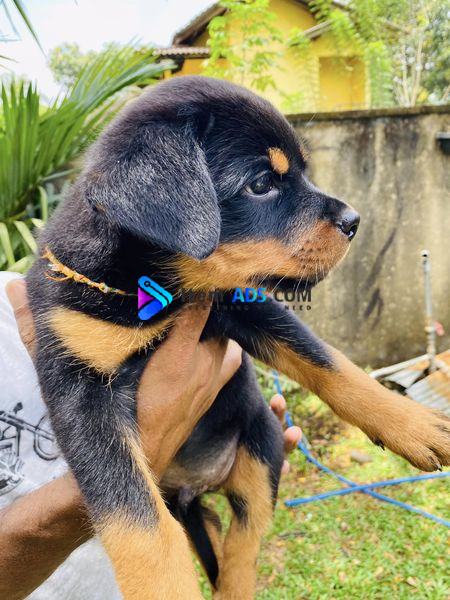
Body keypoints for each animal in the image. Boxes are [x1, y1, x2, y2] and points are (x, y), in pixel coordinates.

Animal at [26, 76, 450, 599]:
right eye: (261, 184)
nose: (354, 221)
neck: (152, 284)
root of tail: (194, 487)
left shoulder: (243, 304)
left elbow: (328, 362)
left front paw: (414, 424)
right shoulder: (77, 386)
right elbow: (135, 516)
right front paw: (166, 586)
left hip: (261, 448)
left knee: (243, 543)